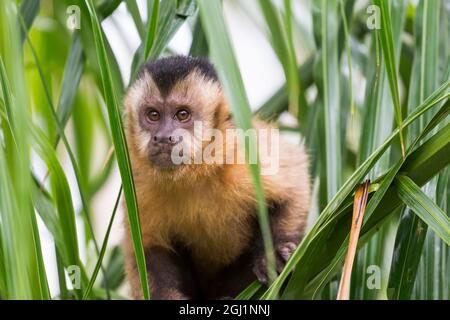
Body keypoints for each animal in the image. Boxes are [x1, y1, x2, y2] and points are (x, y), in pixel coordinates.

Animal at [123, 55, 312, 300]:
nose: (163, 137)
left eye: (182, 114)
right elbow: (148, 248)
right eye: (153, 115)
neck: (196, 172)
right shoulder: (138, 183)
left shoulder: (244, 152)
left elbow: (294, 183)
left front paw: (273, 254)